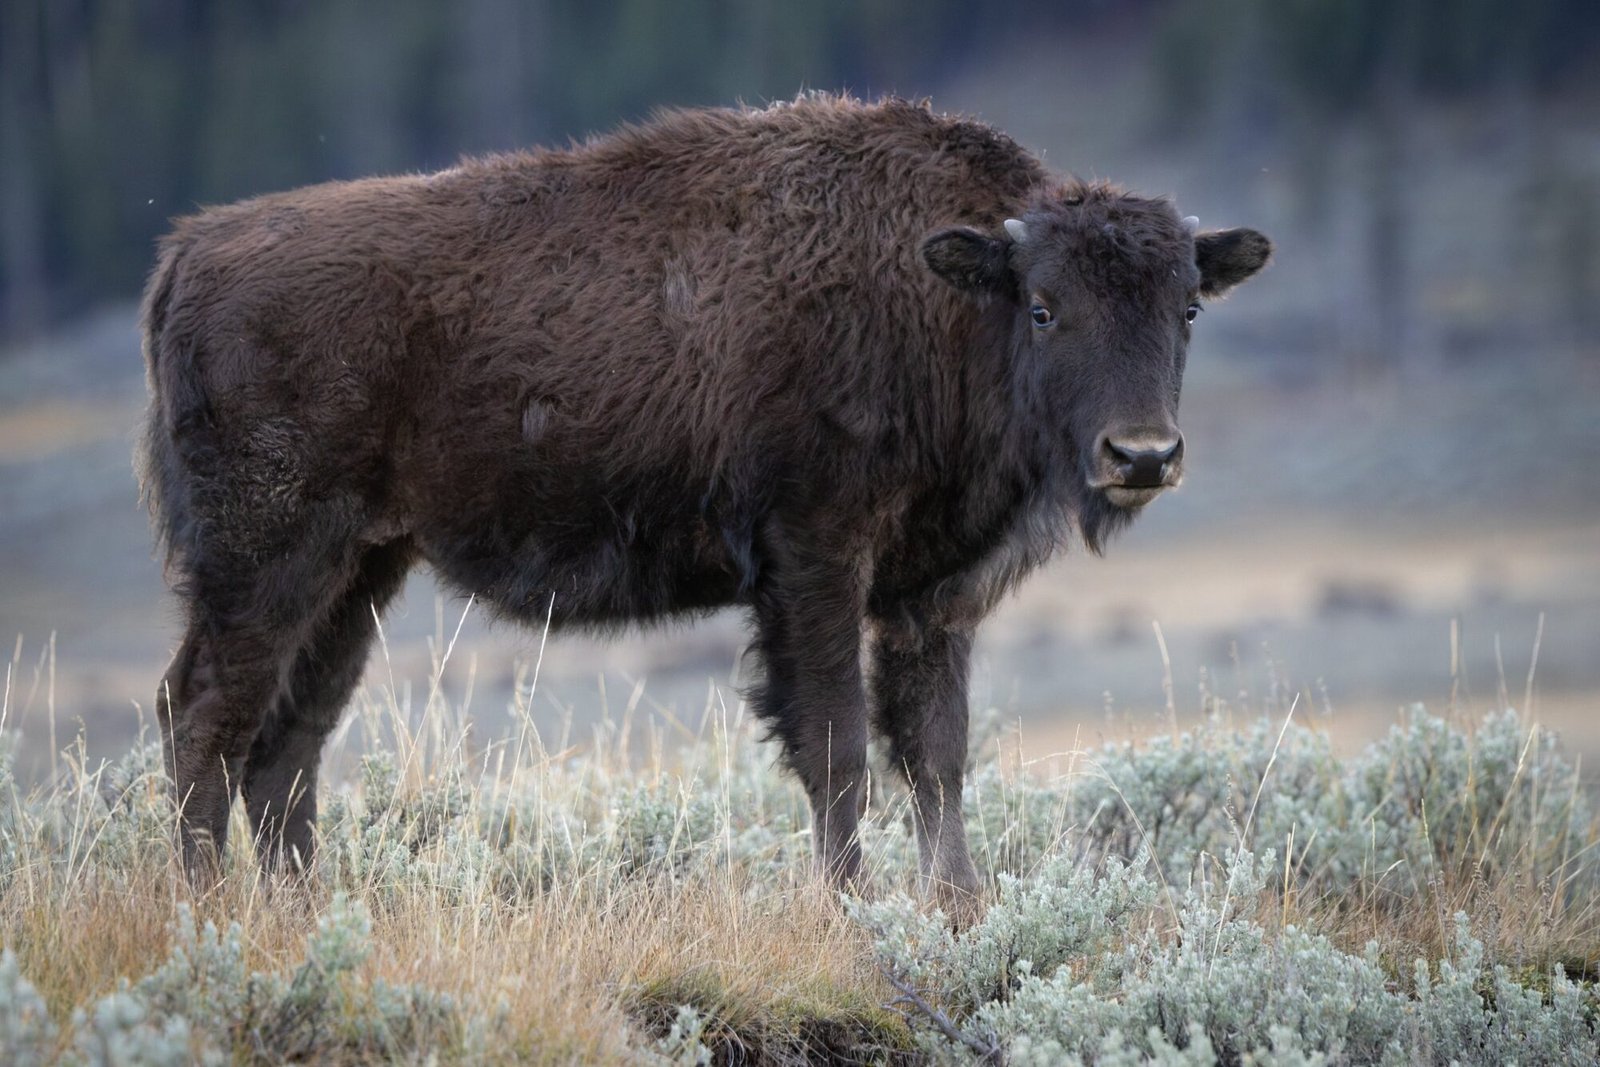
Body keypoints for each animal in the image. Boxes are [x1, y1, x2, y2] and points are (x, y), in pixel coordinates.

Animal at [139, 94, 1270, 912]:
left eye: (1186, 307)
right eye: (1042, 305)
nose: (1141, 454)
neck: (944, 292)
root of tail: (190, 254)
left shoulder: (926, 597)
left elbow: (937, 754)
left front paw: (959, 908)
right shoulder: (814, 558)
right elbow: (837, 745)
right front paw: (847, 907)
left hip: (361, 567)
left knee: (289, 741)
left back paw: (302, 912)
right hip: (267, 556)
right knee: (205, 710)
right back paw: (204, 909)